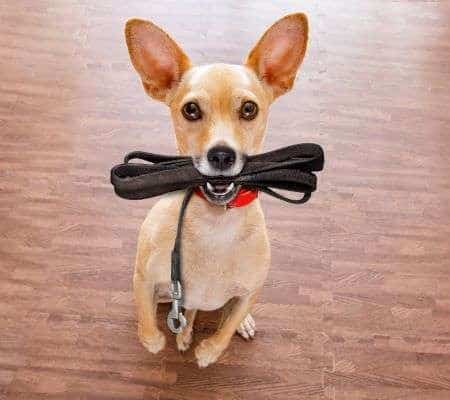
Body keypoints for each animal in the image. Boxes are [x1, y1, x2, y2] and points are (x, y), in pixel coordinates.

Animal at [125, 12, 310, 368]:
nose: (221, 155)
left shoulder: (250, 292)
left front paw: (208, 352)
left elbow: (224, 332)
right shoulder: (144, 279)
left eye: (249, 109)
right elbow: (145, 322)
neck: (215, 223)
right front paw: (156, 341)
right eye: (191, 110)